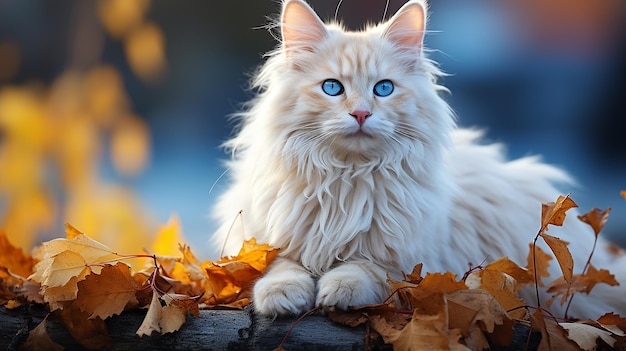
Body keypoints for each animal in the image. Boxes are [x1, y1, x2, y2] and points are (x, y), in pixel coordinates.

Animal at [211, 0, 624, 320]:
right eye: (332, 88)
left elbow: (366, 269)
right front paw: (281, 296)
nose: (361, 113)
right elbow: (281, 267)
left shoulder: (408, 265)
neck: (347, 177)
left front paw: (338, 289)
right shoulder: (276, 240)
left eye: (383, 89)